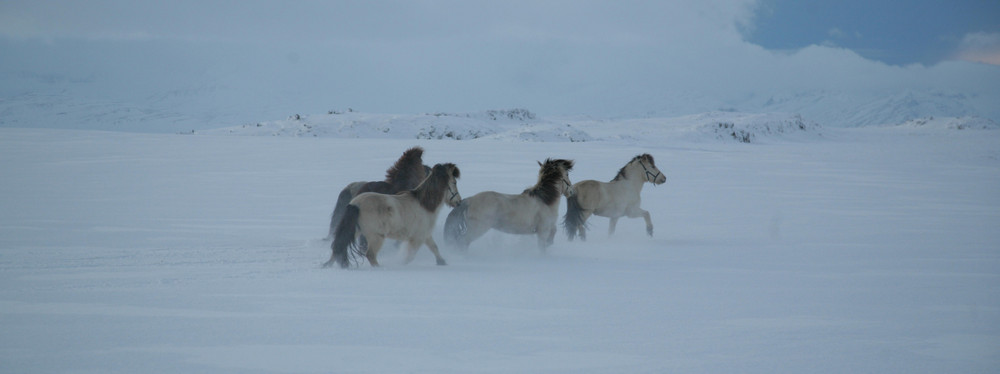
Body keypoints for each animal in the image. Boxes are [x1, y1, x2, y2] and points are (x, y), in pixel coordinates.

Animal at [324, 162, 460, 268]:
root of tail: (355, 204)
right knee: (370, 255)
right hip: (376, 237)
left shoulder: (425, 235)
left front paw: (442, 262)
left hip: (355, 231)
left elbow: (434, 247)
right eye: (454, 182)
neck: (424, 205)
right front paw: (401, 265)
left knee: (338, 247)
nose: (458, 202)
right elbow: (410, 256)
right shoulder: (418, 237)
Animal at [444, 158, 576, 251]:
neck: (545, 200)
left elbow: (553, 233)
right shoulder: (543, 230)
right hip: (478, 228)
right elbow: (543, 246)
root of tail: (469, 200)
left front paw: (550, 243)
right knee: (463, 242)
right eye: (567, 175)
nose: (571, 191)